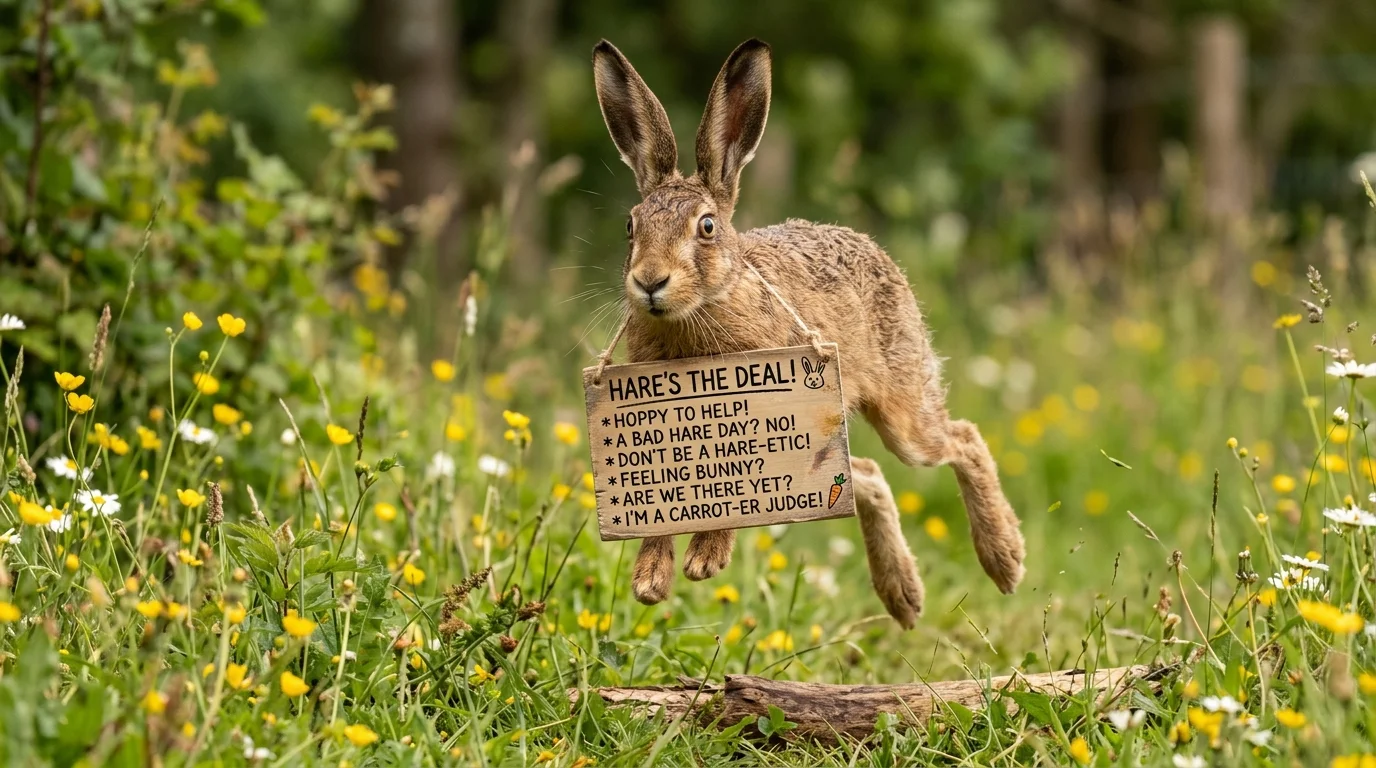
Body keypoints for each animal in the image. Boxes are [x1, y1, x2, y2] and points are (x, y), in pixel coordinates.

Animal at [592, 38, 1025, 627]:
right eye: (630, 226)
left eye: (707, 227)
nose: (649, 281)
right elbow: (663, 508)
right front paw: (650, 582)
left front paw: (705, 562)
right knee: (868, 473)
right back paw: (904, 596)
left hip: (903, 411)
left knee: (962, 439)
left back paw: (1005, 561)